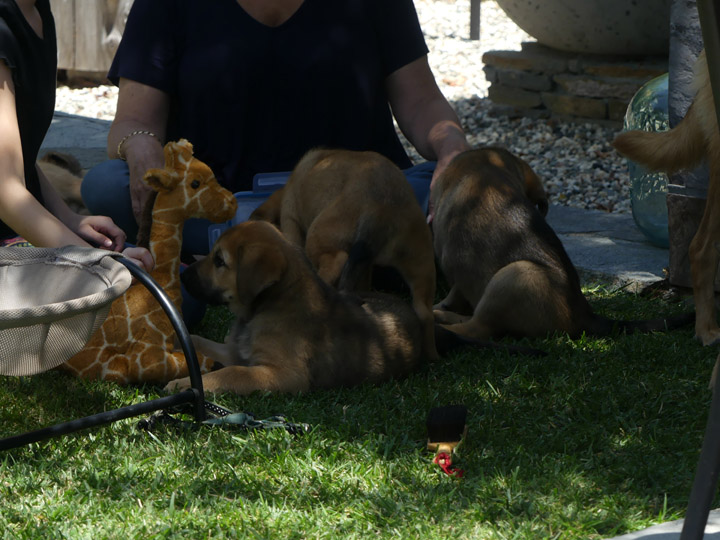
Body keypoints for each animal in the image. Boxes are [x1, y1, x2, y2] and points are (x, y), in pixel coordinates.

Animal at [165, 220, 434, 396]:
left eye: (219, 261)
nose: (183, 277)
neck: (268, 306)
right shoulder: (234, 352)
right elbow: (197, 340)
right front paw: (173, 342)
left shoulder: (284, 374)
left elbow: (233, 373)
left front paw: (184, 385)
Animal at [250, 147, 436, 358]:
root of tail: (380, 208)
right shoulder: (364, 265)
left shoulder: (291, 221)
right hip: (420, 262)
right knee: (424, 311)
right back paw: (432, 356)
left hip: (319, 232)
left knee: (335, 262)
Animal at [430, 147, 696, 342]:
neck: (486, 165)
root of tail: (583, 314)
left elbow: (456, 291)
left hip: (517, 275)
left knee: (478, 329)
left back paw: (439, 321)